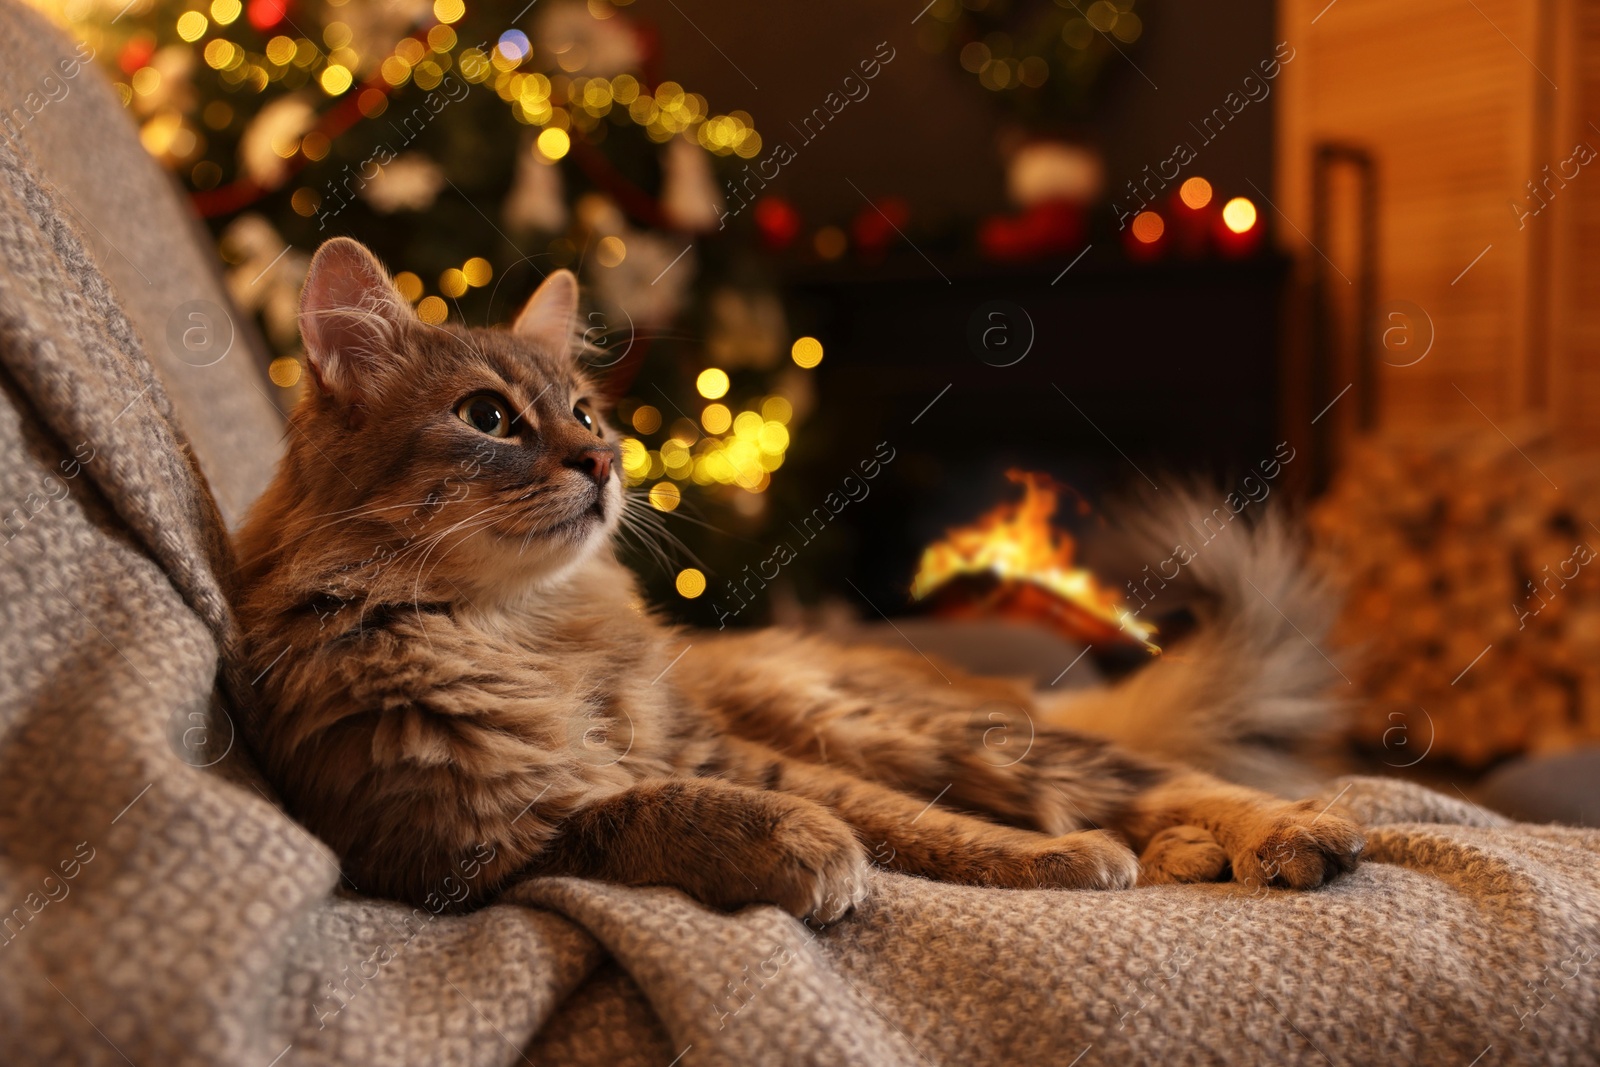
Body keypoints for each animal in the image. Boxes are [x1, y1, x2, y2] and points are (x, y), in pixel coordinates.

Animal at [233, 238, 1363, 921]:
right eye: (487, 418)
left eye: (587, 412)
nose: (603, 463)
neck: (522, 628)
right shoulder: (475, 847)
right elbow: (657, 809)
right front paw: (803, 847)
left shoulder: (732, 749)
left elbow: (917, 823)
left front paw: (1050, 858)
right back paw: (1187, 852)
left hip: (899, 726)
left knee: (1163, 779)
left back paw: (1283, 833)